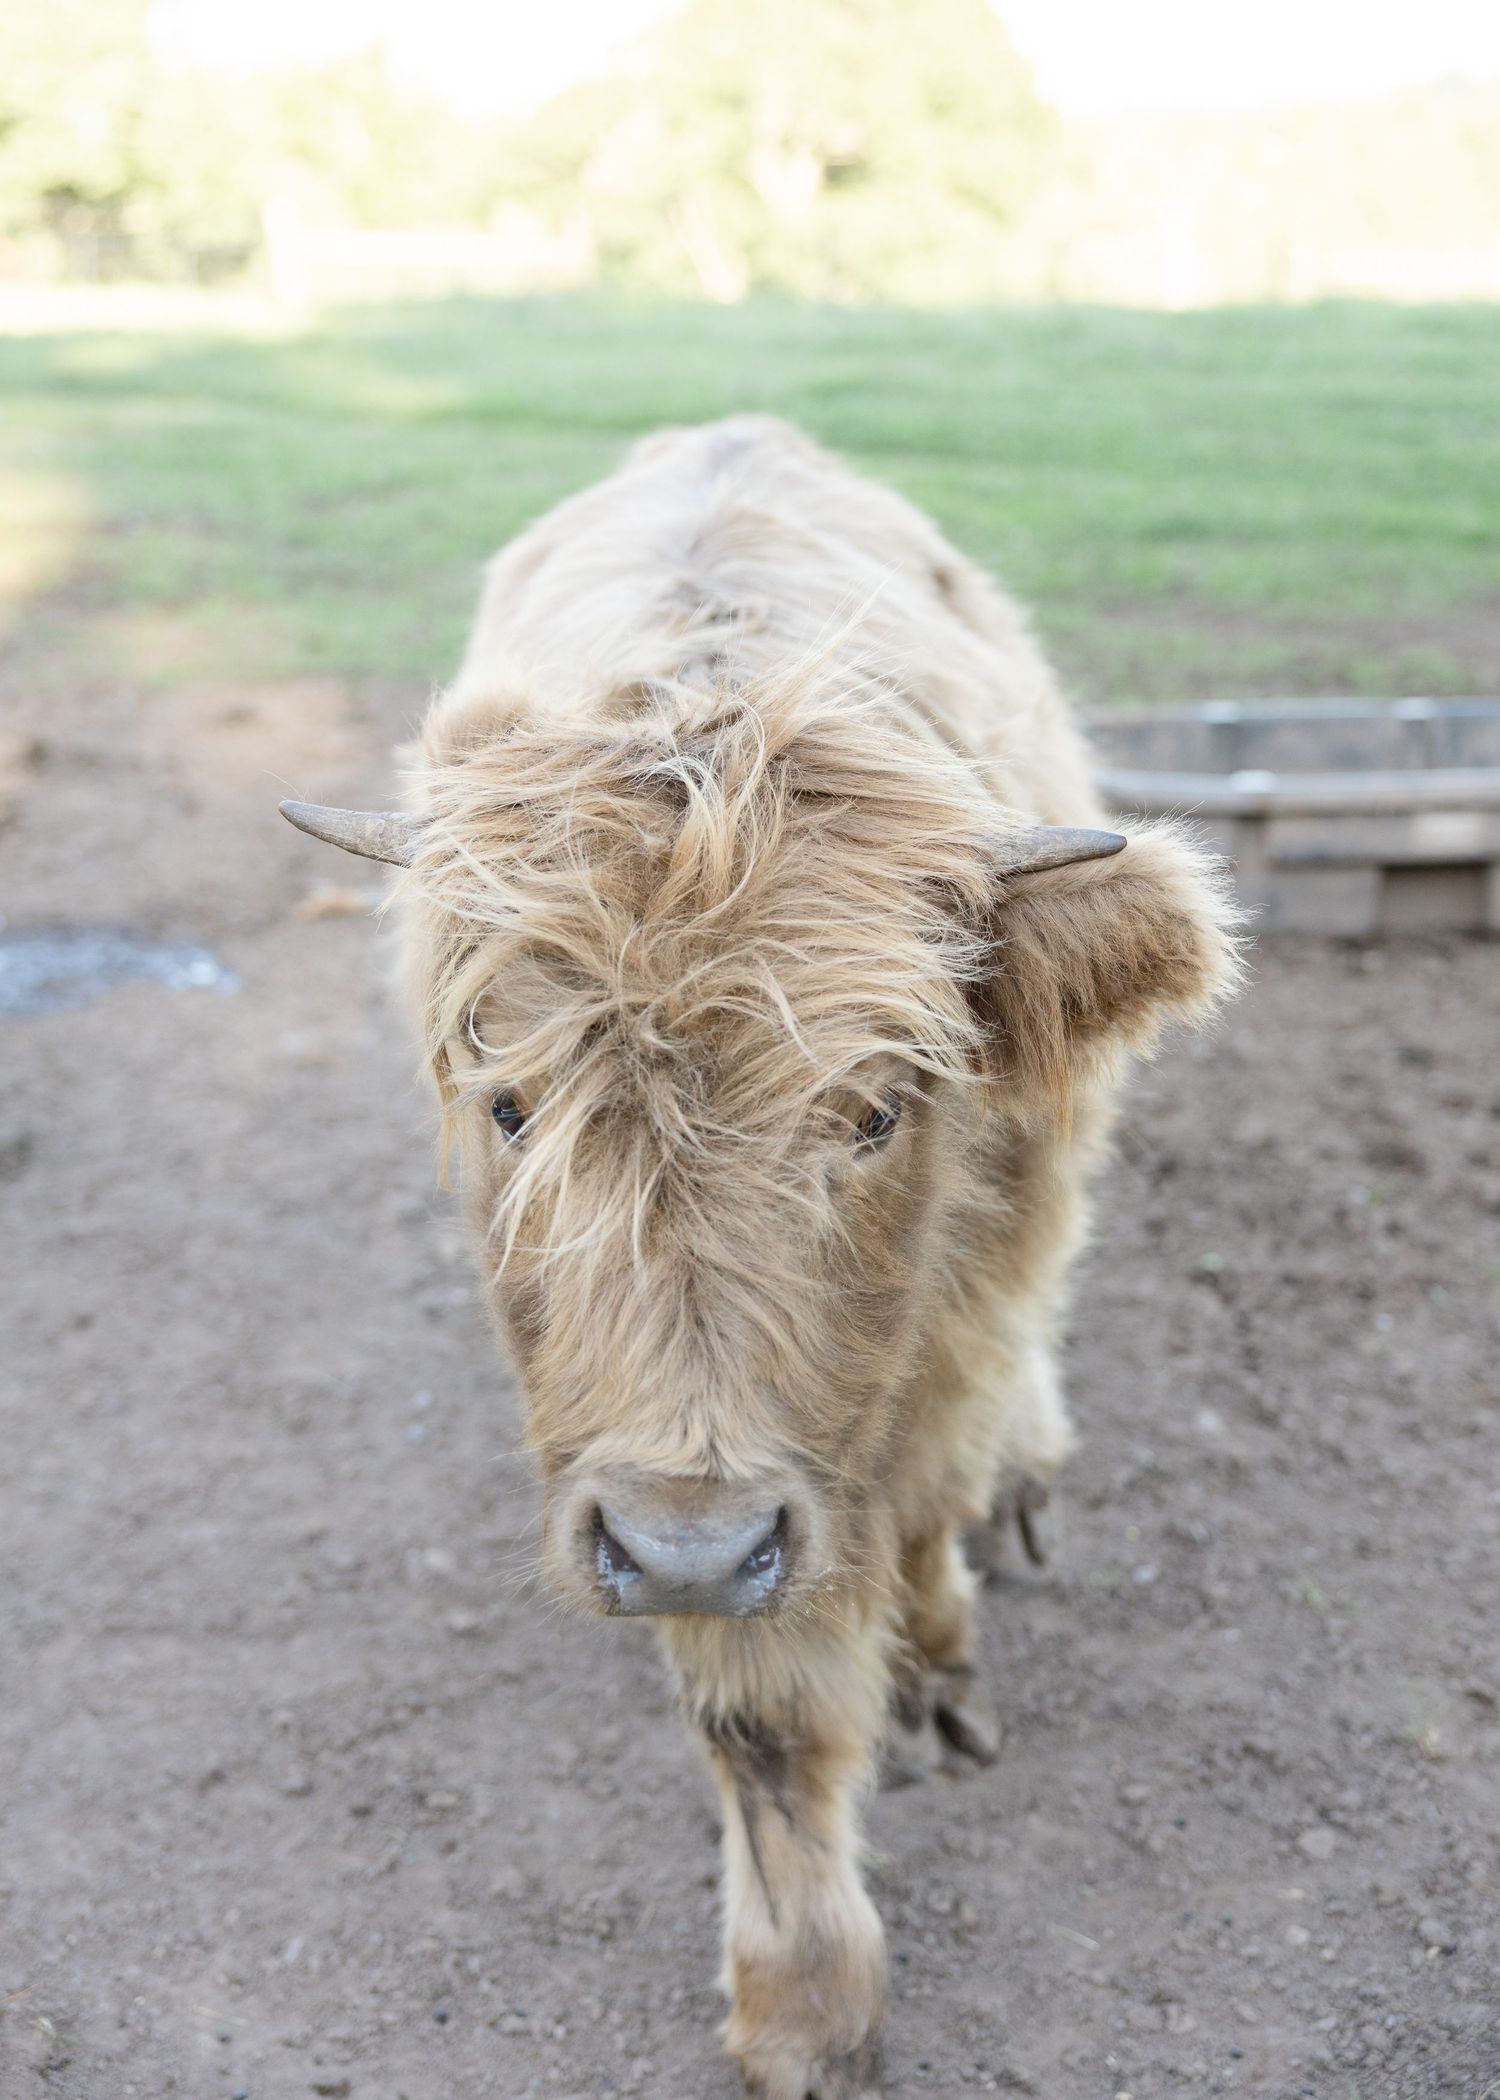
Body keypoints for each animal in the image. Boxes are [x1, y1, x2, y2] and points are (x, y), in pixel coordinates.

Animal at [281, 416, 1239, 2099]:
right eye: (514, 1105)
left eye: (873, 1109)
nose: (689, 1552)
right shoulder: (652, 1469)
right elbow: (763, 1717)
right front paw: (803, 2003)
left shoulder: (950, 1322)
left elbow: (923, 1501)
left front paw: (938, 1674)